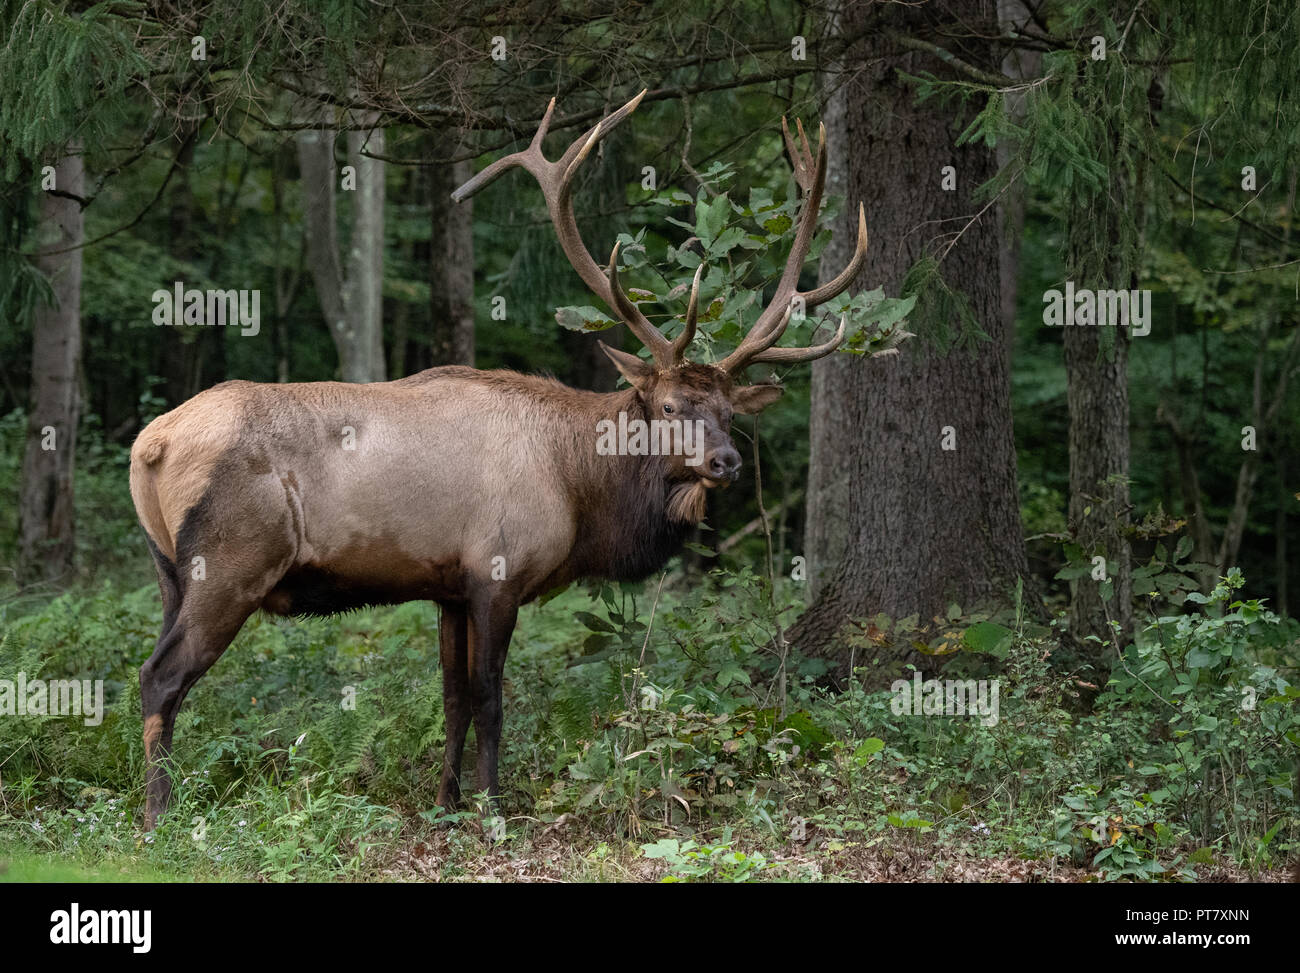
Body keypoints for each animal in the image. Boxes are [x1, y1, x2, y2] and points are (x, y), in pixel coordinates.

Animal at [128, 89, 869, 829]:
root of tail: (149, 444)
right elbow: (491, 697)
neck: (578, 488)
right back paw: (159, 818)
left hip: (170, 570)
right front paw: (491, 809)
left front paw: (446, 801)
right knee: (160, 676)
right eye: (666, 406)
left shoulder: (449, 587)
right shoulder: (498, 569)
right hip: (231, 560)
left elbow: (452, 697)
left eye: (729, 411)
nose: (725, 462)